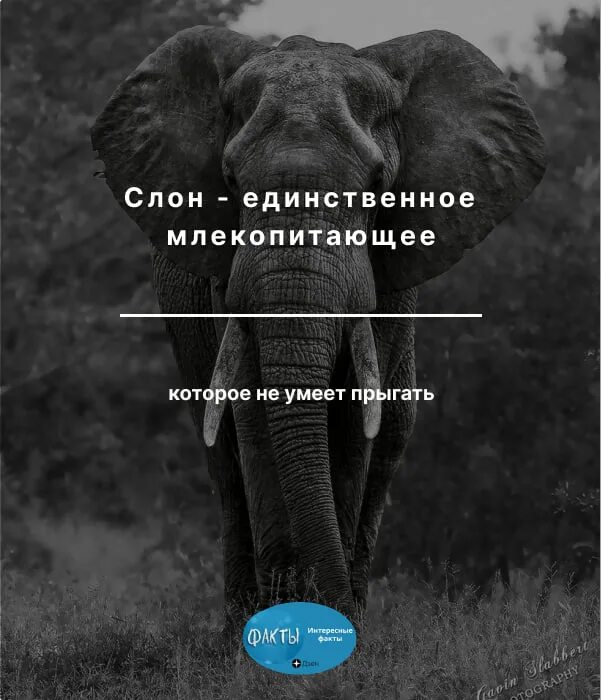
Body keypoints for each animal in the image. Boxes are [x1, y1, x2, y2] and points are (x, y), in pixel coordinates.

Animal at [91, 26, 545, 624]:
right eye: (231, 182)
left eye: (377, 185)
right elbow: (254, 410)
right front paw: (282, 622)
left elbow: (355, 416)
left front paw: (332, 618)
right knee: (223, 456)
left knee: (392, 432)